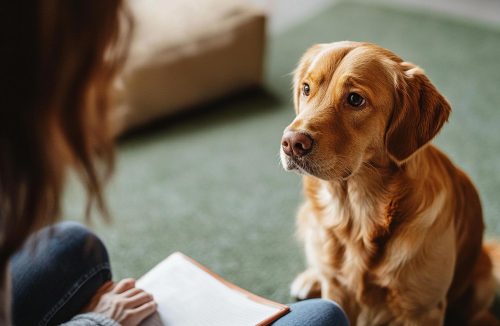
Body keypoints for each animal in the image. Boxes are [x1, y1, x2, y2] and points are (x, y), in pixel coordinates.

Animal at [282, 41, 500, 326]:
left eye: (355, 99)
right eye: (306, 88)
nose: (291, 143)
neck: (359, 215)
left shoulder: (423, 309)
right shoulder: (337, 292)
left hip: (483, 282)